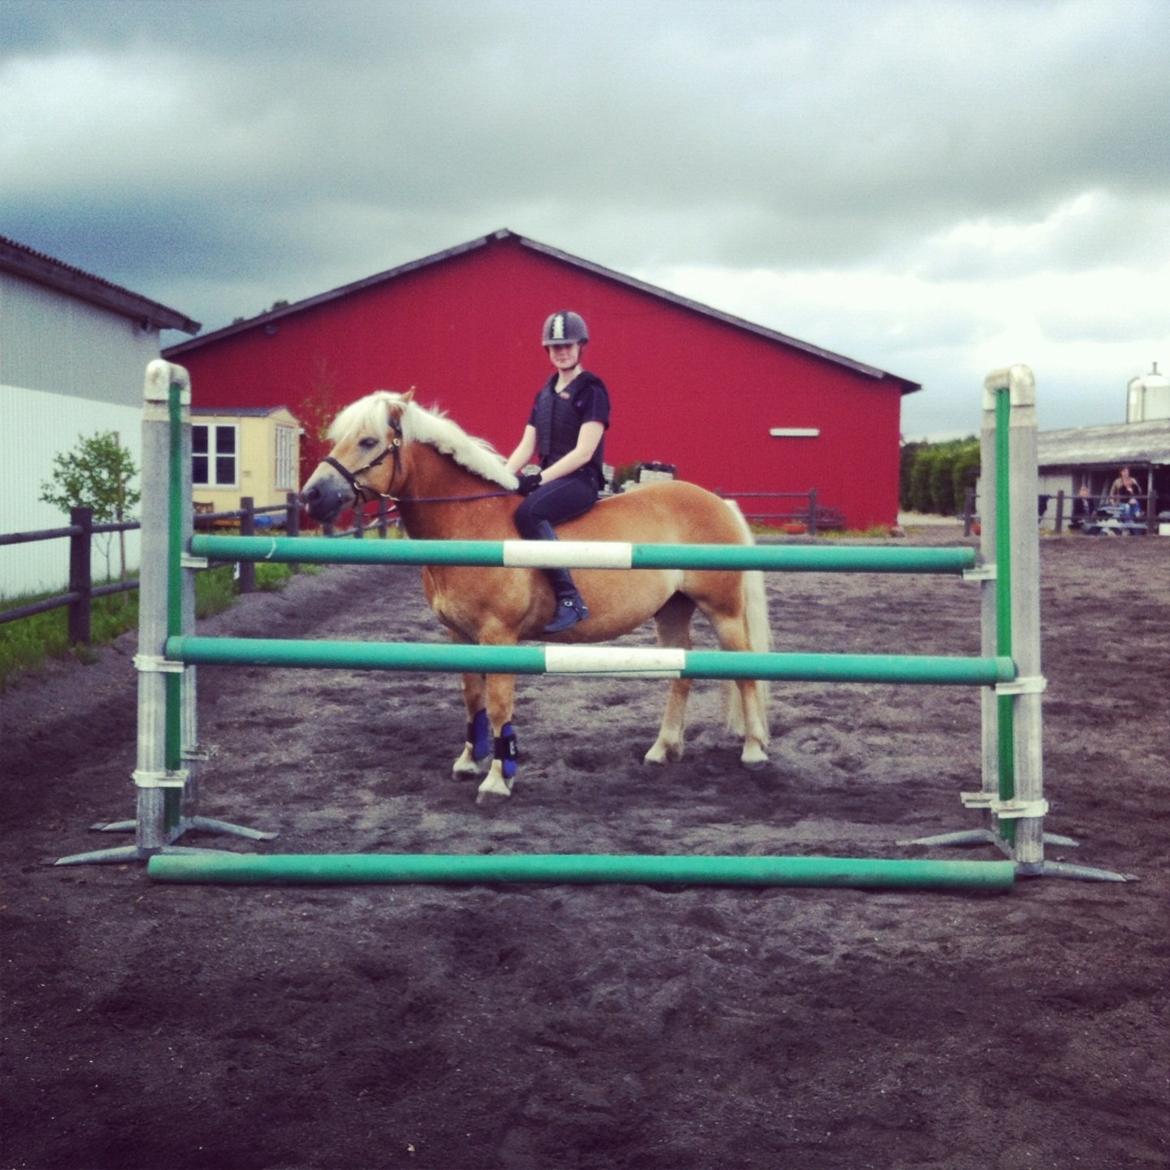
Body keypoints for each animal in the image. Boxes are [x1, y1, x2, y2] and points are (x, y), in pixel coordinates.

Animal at [301, 388, 772, 800]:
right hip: (672, 611)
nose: (311, 495)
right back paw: (662, 749)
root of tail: (719, 503)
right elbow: (472, 699)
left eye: (368, 441)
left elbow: (498, 706)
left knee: (744, 670)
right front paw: (469, 762)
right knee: (681, 672)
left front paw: (496, 780)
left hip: (724, 611)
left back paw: (753, 750)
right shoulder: (460, 636)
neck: (470, 522)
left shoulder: (499, 637)